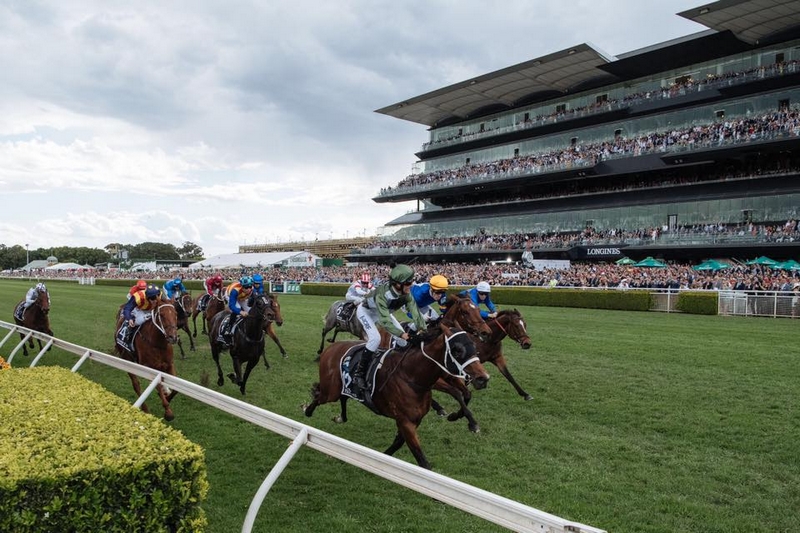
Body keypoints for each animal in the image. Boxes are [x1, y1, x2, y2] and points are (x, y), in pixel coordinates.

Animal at [304, 323, 489, 470]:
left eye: (474, 346)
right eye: (457, 350)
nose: (483, 378)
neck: (411, 376)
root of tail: (331, 348)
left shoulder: (413, 420)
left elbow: (398, 443)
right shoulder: (405, 421)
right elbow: (423, 462)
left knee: (342, 397)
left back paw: (340, 417)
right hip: (331, 392)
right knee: (320, 396)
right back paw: (307, 410)